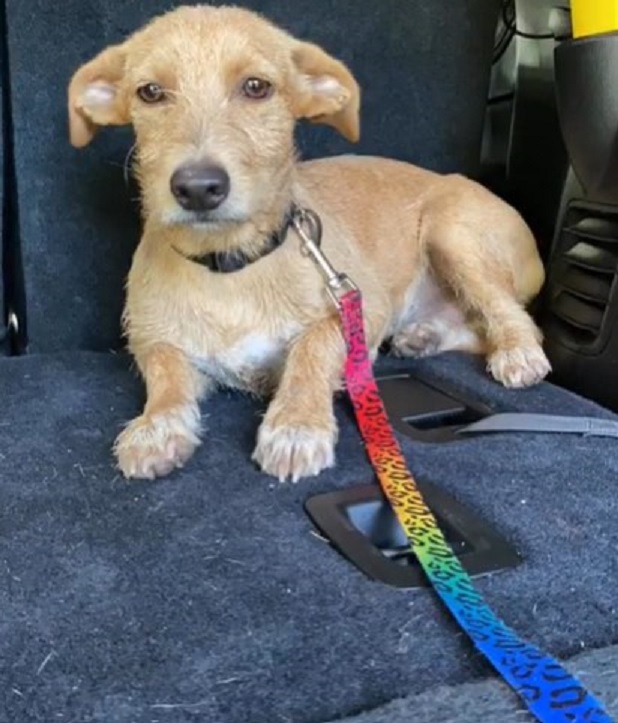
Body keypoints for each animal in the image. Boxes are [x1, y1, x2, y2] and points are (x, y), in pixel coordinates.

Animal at [67, 5, 548, 484]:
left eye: (256, 87)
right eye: (150, 92)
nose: (198, 188)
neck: (231, 266)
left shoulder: (360, 307)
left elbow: (313, 346)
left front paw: (296, 425)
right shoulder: (155, 341)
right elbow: (165, 372)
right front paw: (156, 428)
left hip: (452, 232)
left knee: (512, 315)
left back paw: (517, 352)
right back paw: (424, 336)